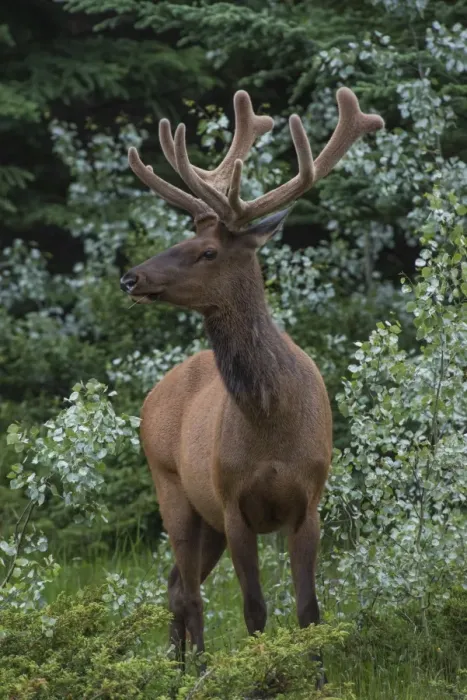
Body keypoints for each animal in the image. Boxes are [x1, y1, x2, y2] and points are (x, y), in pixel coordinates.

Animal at [120, 87, 384, 672]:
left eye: (207, 250)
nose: (130, 277)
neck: (270, 417)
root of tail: (153, 396)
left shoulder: (308, 501)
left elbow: (309, 609)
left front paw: (317, 677)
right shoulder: (233, 500)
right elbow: (254, 610)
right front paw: (259, 676)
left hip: (205, 518)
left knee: (176, 586)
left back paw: (179, 670)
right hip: (174, 489)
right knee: (190, 592)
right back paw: (193, 671)